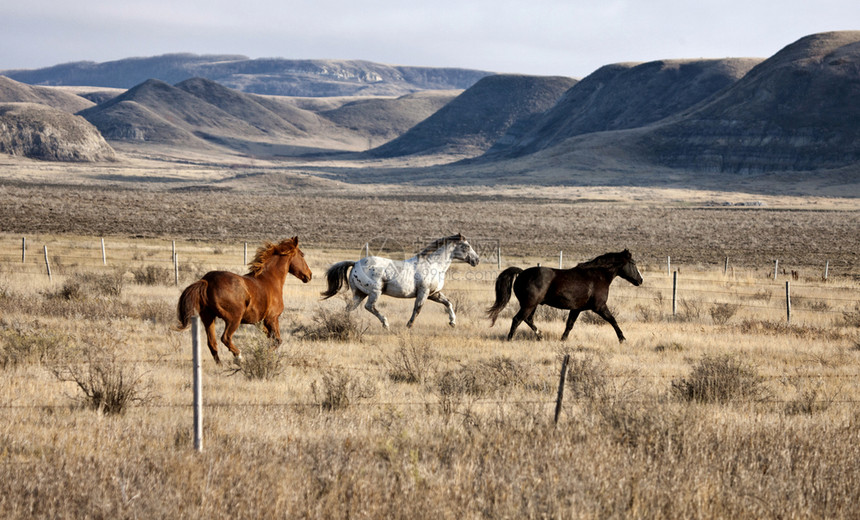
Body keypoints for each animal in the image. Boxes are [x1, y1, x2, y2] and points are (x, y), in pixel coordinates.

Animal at [173, 237, 310, 364]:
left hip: (208, 318)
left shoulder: (261, 323)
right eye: (302, 254)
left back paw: (221, 366)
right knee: (225, 338)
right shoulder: (272, 318)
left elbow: (272, 339)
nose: (309, 275)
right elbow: (277, 341)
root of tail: (206, 281)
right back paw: (239, 357)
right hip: (234, 318)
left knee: (212, 343)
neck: (270, 279)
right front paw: (265, 356)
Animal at [488, 251, 640, 342]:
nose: (640, 280)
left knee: (528, 319)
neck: (597, 276)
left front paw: (563, 339)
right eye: (633, 263)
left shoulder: (576, 309)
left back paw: (540, 335)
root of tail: (522, 273)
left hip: (532, 305)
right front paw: (622, 339)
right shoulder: (599, 307)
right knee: (517, 319)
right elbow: (613, 320)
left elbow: (569, 324)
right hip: (529, 305)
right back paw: (510, 339)